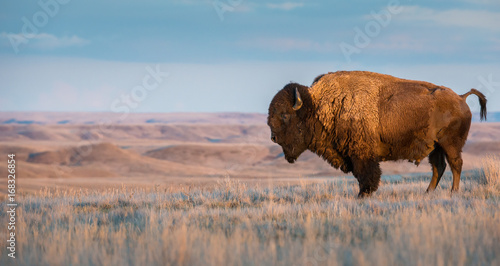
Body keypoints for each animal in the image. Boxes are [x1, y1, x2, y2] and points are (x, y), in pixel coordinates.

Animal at [268, 71, 486, 197]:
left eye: (285, 115)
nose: (273, 137)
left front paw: (363, 195)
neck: (320, 106)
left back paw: (453, 192)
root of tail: (461, 98)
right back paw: (427, 193)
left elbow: (366, 175)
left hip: (450, 144)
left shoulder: (362, 154)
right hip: (435, 146)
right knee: (438, 168)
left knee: (456, 165)